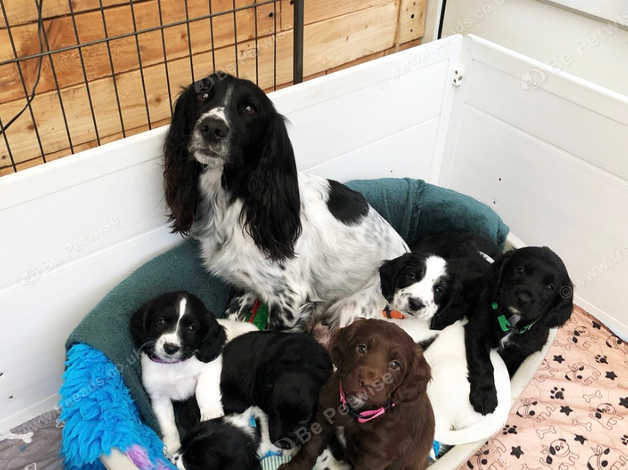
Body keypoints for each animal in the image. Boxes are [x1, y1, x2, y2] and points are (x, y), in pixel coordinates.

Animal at [129, 290, 256, 456]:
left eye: (191, 328)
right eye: (161, 321)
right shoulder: (158, 396)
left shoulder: (211, 366)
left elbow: (204, 391)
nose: (170, 348)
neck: (175, 366)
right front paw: (172, 445)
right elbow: (167, 422)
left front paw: (210, 413)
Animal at [162, 72, 408, 330]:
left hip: (351, 307)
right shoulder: (244, 285)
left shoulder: (289, 298)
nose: (212, 127)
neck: (232, 199)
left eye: (249, 109)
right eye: (202, 94)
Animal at [466, 248, 576, 414]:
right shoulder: (478, 330)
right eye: (520, 269)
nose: (523, 298)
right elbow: (483, 363)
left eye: (550, 287)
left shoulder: (519, 354)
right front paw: (485, 395)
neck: (512, 323)